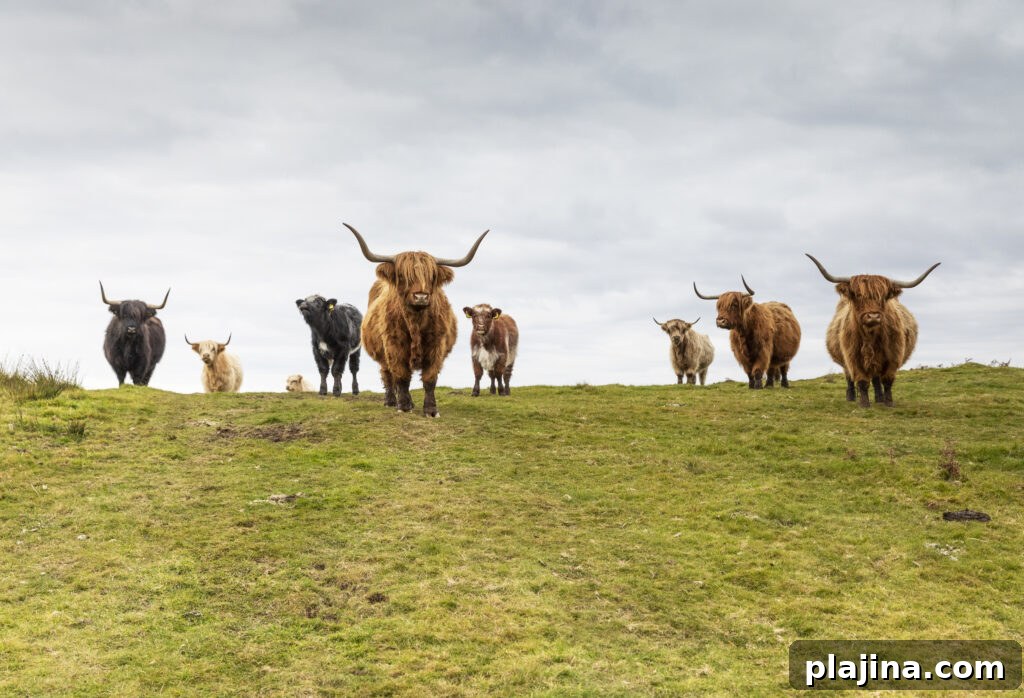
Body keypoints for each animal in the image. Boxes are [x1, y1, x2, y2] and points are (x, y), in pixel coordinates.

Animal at [346, 222, 488, 417]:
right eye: (403, 276)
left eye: (431, 276)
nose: (421, 296)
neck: (416, 322)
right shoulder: (394, 346)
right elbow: (401, 376)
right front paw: (404, 406)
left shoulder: (436, 346)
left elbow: (429, 379)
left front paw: (431, 410)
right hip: (382, 355)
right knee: (387, 375)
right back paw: (391, 401)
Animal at [806, 254, 940, 408]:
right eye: (858, 295)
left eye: (883, 297)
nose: (873, 316)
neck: (870, 337)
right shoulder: (853, 358)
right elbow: (862, 381)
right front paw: (864, 404)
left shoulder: (893, 356)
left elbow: (887, 381)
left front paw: (888, 402)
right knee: (849, 377)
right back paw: (851, 397)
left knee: (876, 379)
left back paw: (879, 398)